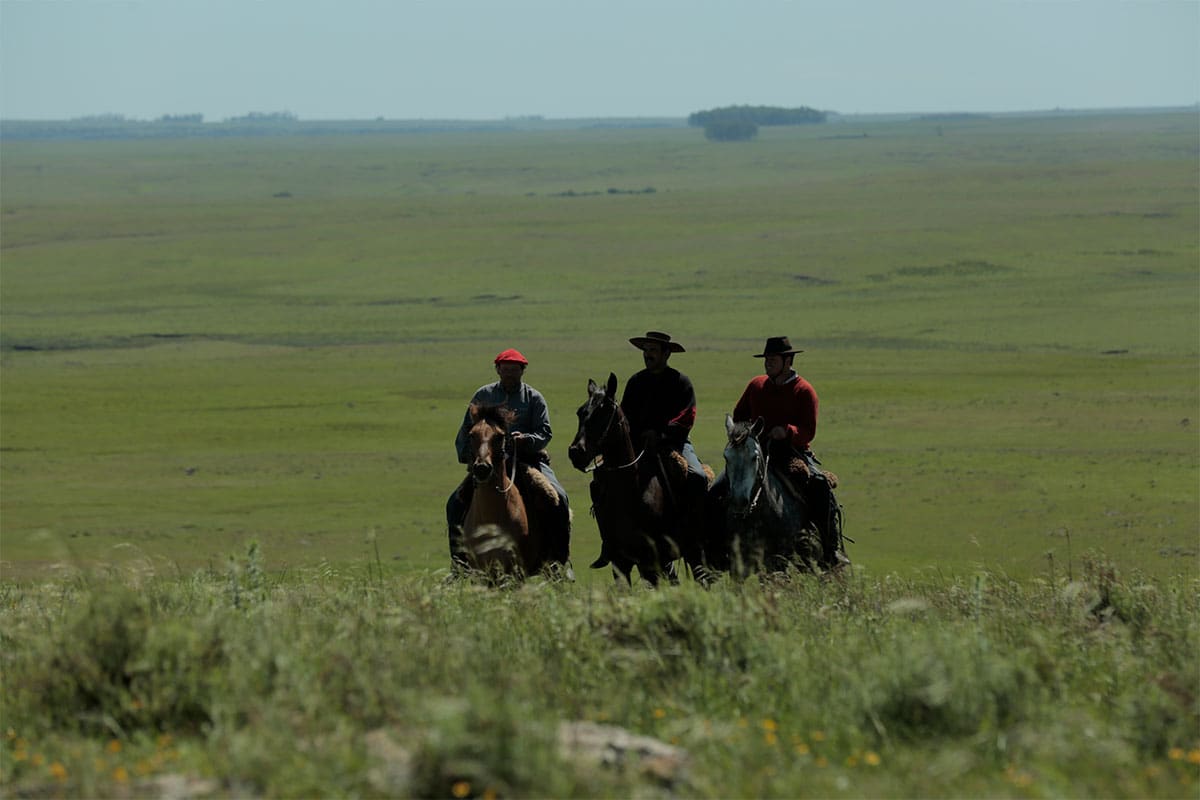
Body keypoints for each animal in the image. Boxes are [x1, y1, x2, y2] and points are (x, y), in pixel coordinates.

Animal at [564, 376, 700, 587]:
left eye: (603, 413)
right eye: (581, 412)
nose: (576, 452)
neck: (631, 490)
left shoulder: (652, 560)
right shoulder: (620, 563)